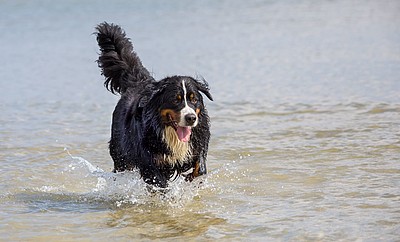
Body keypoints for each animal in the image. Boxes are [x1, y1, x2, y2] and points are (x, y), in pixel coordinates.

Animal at [94, 22, 212, 187]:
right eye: (176, 99)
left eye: (194, 99)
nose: (191, 118)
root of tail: (139, 82)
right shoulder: (149, 161)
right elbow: (159, 182)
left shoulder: (198, 143)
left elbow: (199, 167)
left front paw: (191, 178)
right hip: (120, 154)